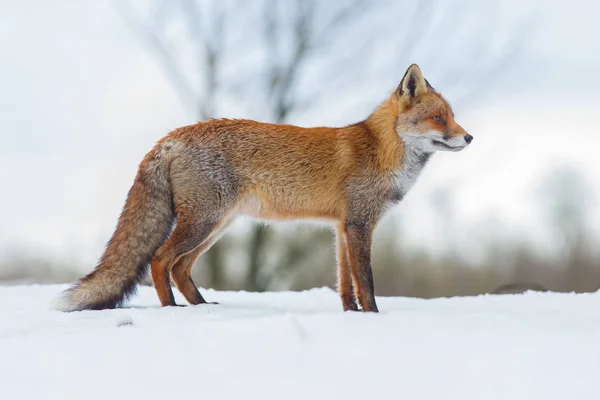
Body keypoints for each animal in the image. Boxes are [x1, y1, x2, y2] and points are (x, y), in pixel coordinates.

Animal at [54, 64, 472, 312]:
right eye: (438, 118)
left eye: (453, 116)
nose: (469, 137)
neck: (382, 150)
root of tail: (172, 136)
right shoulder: (358, 225)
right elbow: (365, 282)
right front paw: (373, 318)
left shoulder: (341, 227)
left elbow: (345, 284)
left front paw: (351, 317)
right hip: (204, 222)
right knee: (160, 260)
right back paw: (172, 309)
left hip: (217, 226)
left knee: (181, 267)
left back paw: (203, 307)